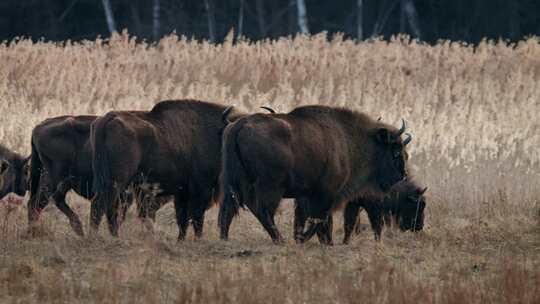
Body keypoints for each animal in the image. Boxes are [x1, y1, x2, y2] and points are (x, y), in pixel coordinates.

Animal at [89, 100, 246, 240]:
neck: (214, 132)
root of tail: (108, 119)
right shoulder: (200, 190)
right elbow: (196, 219)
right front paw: (197, 239)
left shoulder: (182, 193)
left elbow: (183, 220)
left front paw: (180, 240)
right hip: (117, 181)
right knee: (104, 205)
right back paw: (106, 236)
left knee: (106, 206)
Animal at [217, 105, 412, 245]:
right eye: (395, 151)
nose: (402, 175)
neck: (348, 139)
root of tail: (239, 125)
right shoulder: (326, 194)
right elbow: (319, 219)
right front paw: (307, 239)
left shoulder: (310, 195)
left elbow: (317, 220)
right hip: (271, 187)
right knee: (262, 210)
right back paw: (280, 239)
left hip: (232, 181)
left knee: (229, 208)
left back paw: (225, 238)